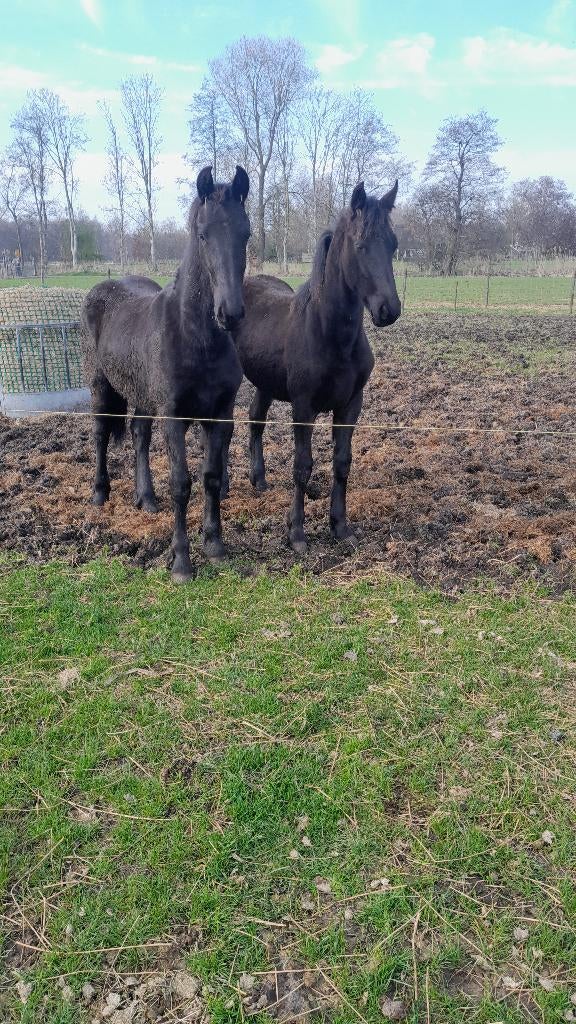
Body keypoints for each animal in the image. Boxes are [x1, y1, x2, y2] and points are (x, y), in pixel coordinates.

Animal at [82, 165, 250, 582]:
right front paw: (182, 562)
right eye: (203, 234)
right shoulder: (174, 417)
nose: (230, 313)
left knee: (139, 436)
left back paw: (146, 498)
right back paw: (100, 493)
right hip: (101, 387)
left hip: (142, 396)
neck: (196, 337)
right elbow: (181, 484)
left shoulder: (219, 414)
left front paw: (215, 545)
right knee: (100, 434)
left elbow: (210, 478)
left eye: (246, 233)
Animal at [231, 179, 400, 554]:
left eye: (394, 244)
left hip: (265, 384)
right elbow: (302, 465)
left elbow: (342, 462)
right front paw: (296, 532)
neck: (329, 333)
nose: (389, 310)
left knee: (255, 420)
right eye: (360, 245)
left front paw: (340, 525)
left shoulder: (350, 405)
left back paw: (259, 479)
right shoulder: (303, 406)